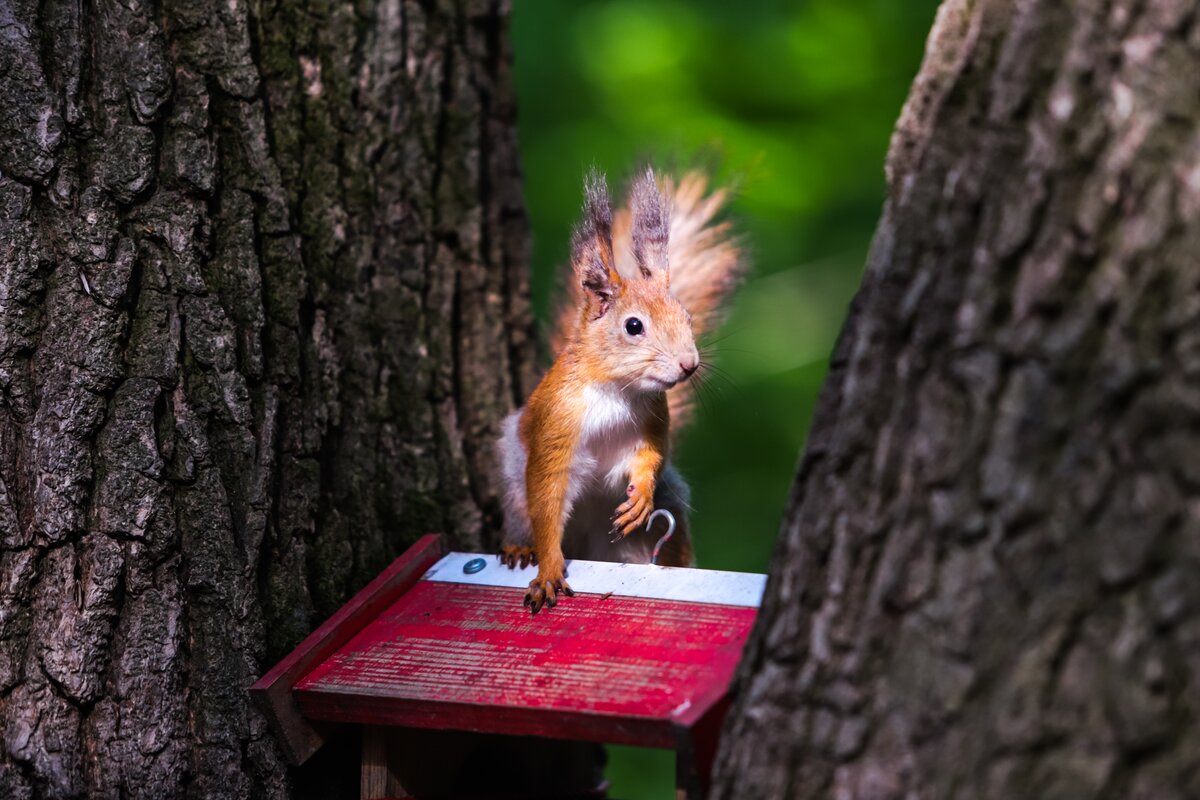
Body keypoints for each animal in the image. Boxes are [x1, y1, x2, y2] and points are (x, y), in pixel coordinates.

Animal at [494, 167, 739, 614]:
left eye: (686, 316)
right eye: (633, 326)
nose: (689, 364)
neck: (617, 391)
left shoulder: (654, 414)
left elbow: (651, 454)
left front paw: (640, 493)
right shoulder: (557, 424)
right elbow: (547, 497)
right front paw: (549, 571)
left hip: (669, 504)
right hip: (512, 480)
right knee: (524, 514)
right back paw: (519, 547)